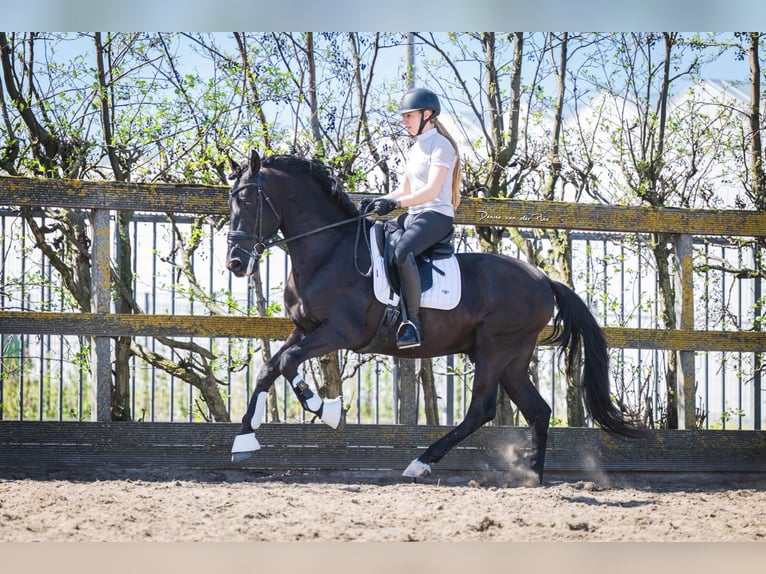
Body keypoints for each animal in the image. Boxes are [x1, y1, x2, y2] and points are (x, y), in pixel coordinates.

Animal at [225, 149, 642, 483]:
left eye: (247, 200)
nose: (235, 263)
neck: (329, 252)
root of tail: (543, 279)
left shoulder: (340, 332)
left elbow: (289, 363)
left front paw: (324, 409)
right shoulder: (305, 328)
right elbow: (269, 368)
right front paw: (244, 438)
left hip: (496, 348)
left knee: (481, 409)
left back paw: (421, 463)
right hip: (513, 357)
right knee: (538, 411)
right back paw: (533, 478)